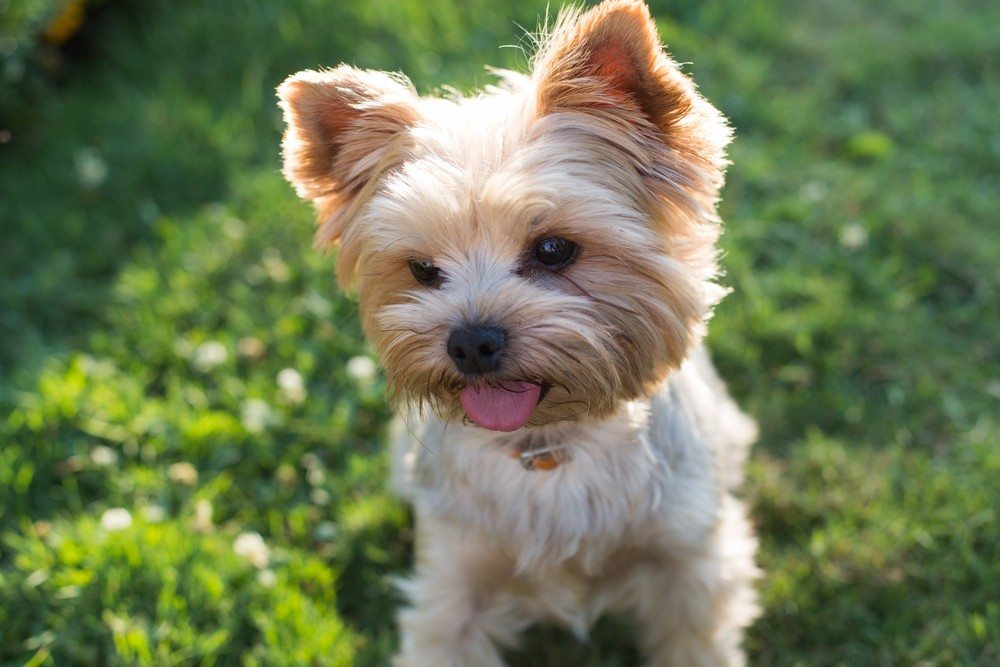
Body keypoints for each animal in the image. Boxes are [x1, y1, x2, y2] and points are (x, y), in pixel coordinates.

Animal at [278, 2, 760, 664]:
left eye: (554, 249)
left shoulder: (689, 567)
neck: (547, 446)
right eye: (423, 269)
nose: (470, 342)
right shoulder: (451, 584)